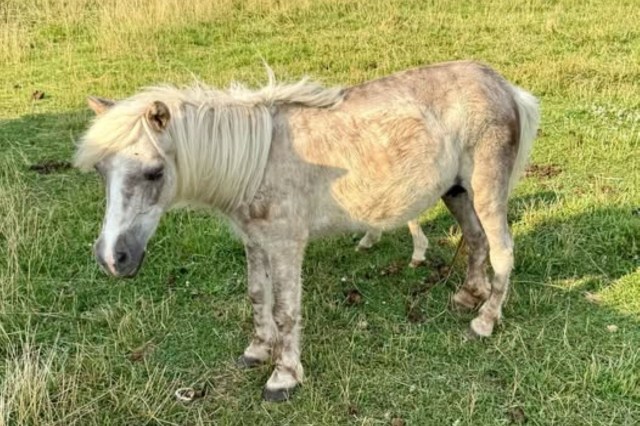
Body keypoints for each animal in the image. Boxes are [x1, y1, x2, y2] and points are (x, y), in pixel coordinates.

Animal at [74, 60, 539, 402]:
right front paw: (258, 350)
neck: (258, 160)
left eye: (154, 172)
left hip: (486, 190)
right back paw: (468, 295)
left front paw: (283, 376)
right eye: (101, 171)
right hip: (456, 191)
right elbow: (257, 296)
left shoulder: (285, 245)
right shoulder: (255, 242)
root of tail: (503, 85)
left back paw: (485, 320)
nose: (112, 259)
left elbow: (285, 310)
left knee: (502, 250)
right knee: (476, 239)